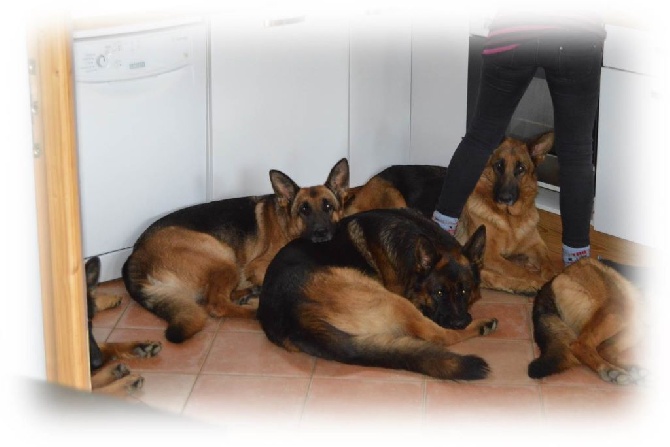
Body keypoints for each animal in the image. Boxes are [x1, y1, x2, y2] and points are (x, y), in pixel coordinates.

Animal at [122, 159, 352, 344]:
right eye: (304, 210)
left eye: (328, 207)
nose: (321, 233)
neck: (287, 223)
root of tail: (136, 254)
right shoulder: (258, 266)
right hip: (224, 259)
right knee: (216, 304)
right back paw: (253, 308)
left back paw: (248, 292)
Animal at [258, 207, 498, 382]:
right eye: (439, 293)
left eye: (465, 291)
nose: (459, 321)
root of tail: (294, 316)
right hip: (389, 298)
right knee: (439, 336)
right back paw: (482, 325)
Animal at [528, 258, 648, 386]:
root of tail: (555, 278)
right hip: (620, 309)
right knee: (581, 344)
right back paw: (609, 369)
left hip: (638, 324)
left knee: (603, 349)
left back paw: (634, 371)